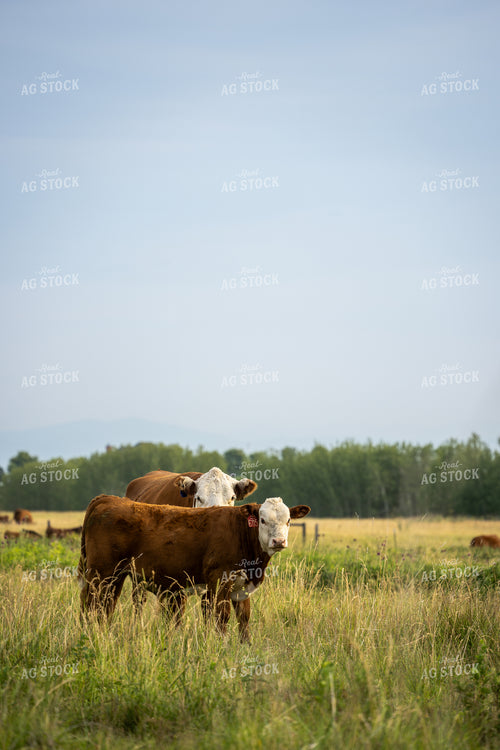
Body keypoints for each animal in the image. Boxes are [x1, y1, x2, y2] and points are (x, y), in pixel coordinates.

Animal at [78, 495, 310, 642]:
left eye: (288, 520)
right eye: (262, 520)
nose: (279, 541)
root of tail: (108, 499)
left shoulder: (241, 587)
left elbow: (244, 619)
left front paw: (245, 647)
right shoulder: (220, 580)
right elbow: (222, 617)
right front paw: (221, 646)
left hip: (116, 575)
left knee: (106, 606)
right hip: (100, 573)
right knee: (90, 604)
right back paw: (89, 634)